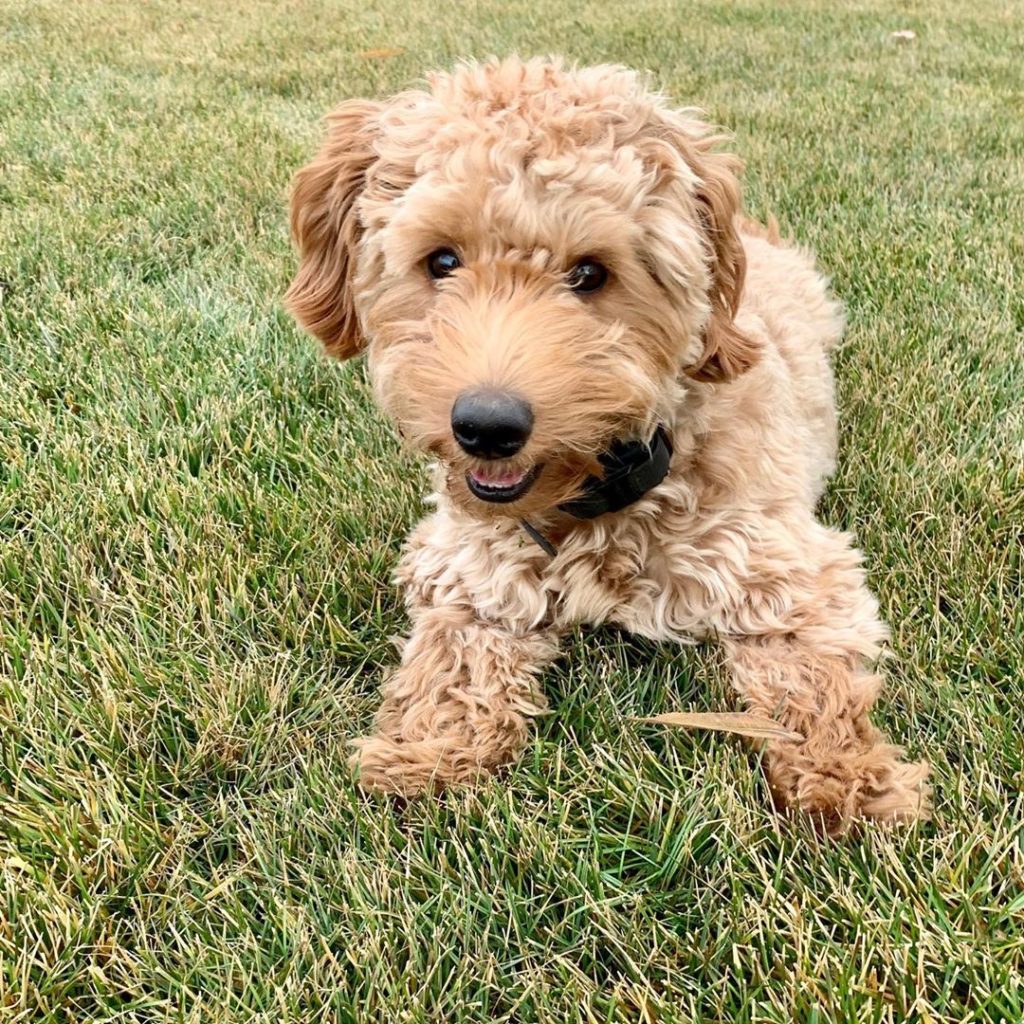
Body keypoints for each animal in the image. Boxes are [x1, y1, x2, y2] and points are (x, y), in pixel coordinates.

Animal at [286, 56, 929, 831]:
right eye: (441, 261)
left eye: (590, 273)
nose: (488, 426)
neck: (600, 493)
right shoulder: (468, 561)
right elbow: (458, 650)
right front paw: (428, 750)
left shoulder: (785, 566)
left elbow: (813, 674)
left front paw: (850, 780)